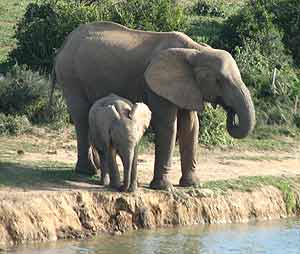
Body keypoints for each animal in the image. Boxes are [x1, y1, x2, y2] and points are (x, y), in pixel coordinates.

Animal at [51, 21, 255, 189]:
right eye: (219, 81)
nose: (230, 112)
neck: (195, 50)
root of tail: (64, 43)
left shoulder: (187, 86)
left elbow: (190, 127)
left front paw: (192, 185)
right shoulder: (156, 85)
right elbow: (168, 126)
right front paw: (164, 187)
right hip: (70, 76)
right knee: (81, 117)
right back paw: (86, 171)